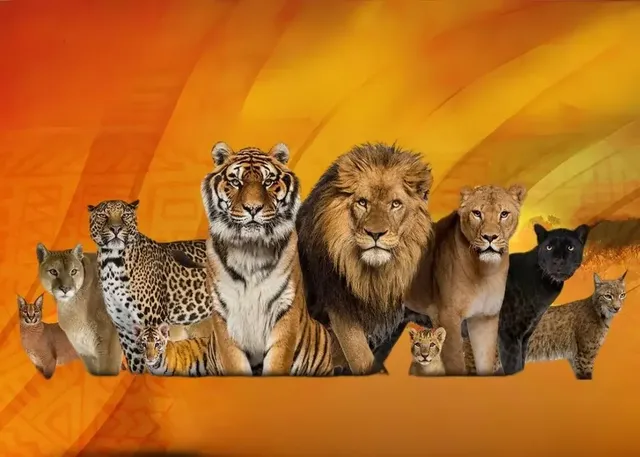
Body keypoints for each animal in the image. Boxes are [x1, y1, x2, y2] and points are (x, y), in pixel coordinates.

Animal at [296, 142, 434, 375]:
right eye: (362, 202)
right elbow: (360, 356)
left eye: (395, 204)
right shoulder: (340, 308)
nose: (375, 234)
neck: (374, 277)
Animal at [405, 184, 527, 375]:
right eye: (477, 213)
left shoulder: (485, 318)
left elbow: (485, 361)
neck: (485, 272)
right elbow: (455, 363)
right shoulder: (447, 316)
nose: (490, 237)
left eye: (504, 214)